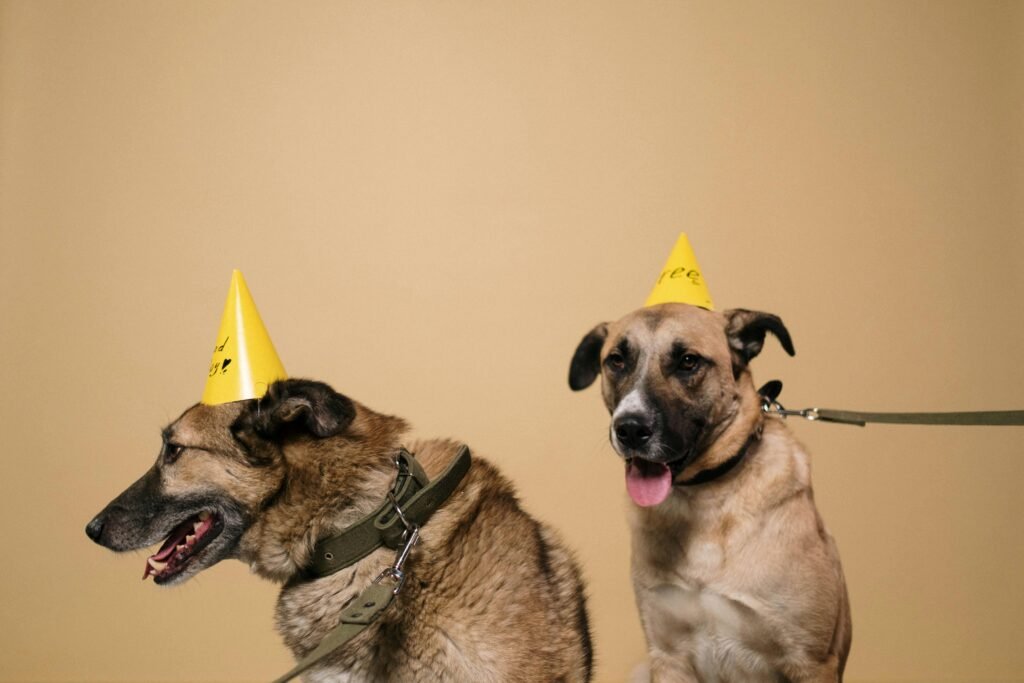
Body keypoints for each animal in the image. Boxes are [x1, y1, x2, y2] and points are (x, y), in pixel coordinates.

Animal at [573, 305, 851, 683]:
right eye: (616, 360)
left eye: (688, 361)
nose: (629, 428)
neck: (706, 502)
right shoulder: (669, 657)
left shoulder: (811, 662)